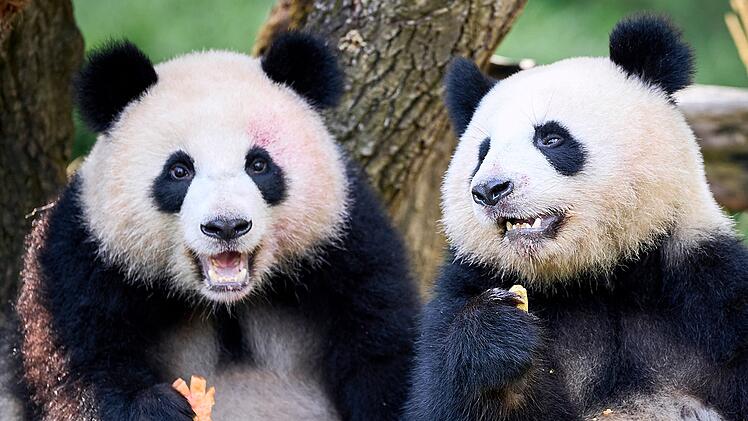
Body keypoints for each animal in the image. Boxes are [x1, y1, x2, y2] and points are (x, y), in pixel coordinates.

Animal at [8, 33, 418, 420]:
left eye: (258, 164)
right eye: (179, 170)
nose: (226, 226)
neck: (226, 304)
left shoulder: (347, 244)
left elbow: (383, 350)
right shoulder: (80, 259)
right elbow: (79, 368)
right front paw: (157, 408)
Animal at [405, 15, 747, 421]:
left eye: (551, 138)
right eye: (483, 152)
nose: (489, 190)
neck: (596, 275)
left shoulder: (711, 291)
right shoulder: (462, 291)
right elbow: (440, 399)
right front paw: (495, 334)